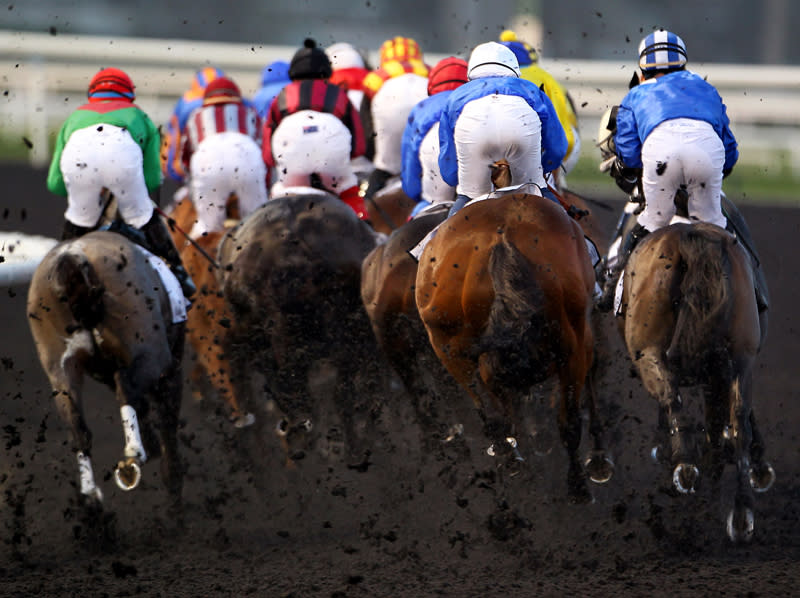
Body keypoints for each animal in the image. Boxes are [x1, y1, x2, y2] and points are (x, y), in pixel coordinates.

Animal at [26, 232, 186, 516]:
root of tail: (73, 257)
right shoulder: (169, 372)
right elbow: (167, 434)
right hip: (152, 355)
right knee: (127, 387)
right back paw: (133, 455)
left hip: (62, 373)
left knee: (78, 427)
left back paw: (91, 496)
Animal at [412, 191, 612, 502]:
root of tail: (501, 238)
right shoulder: (578, 342)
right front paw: (587, 474)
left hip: (449, 346)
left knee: (494, 417)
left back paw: (511, 462)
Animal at [620, 220, 772, 544]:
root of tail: (690, 238)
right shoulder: (724, 369)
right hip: (739, 359)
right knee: (739, 423)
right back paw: (741, 513)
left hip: (649, 352)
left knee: (671, 398)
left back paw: (685, 467)